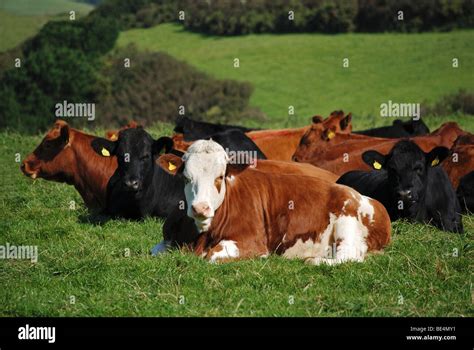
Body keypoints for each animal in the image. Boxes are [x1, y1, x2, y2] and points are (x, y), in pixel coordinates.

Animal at [157, 139, 390, 262]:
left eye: (221, 177)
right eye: (186, 178)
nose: (200, 208)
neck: (202, 236)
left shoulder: (251, 242)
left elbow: (211, 256)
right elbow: (158, 251)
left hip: (347, 219)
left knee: (348, 255)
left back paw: (313, 260)